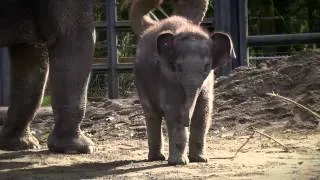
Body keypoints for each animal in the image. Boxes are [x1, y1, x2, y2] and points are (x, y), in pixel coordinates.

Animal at [132, 16, 235, 165]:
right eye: (179, 67)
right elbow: (174, 111)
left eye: (206, 67)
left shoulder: (208, 82)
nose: (187, 121)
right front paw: (179, 162)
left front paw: (200, 160)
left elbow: (203, 111)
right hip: (141, 81)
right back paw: (156, 158)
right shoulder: (168, 78)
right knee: (152, 114)